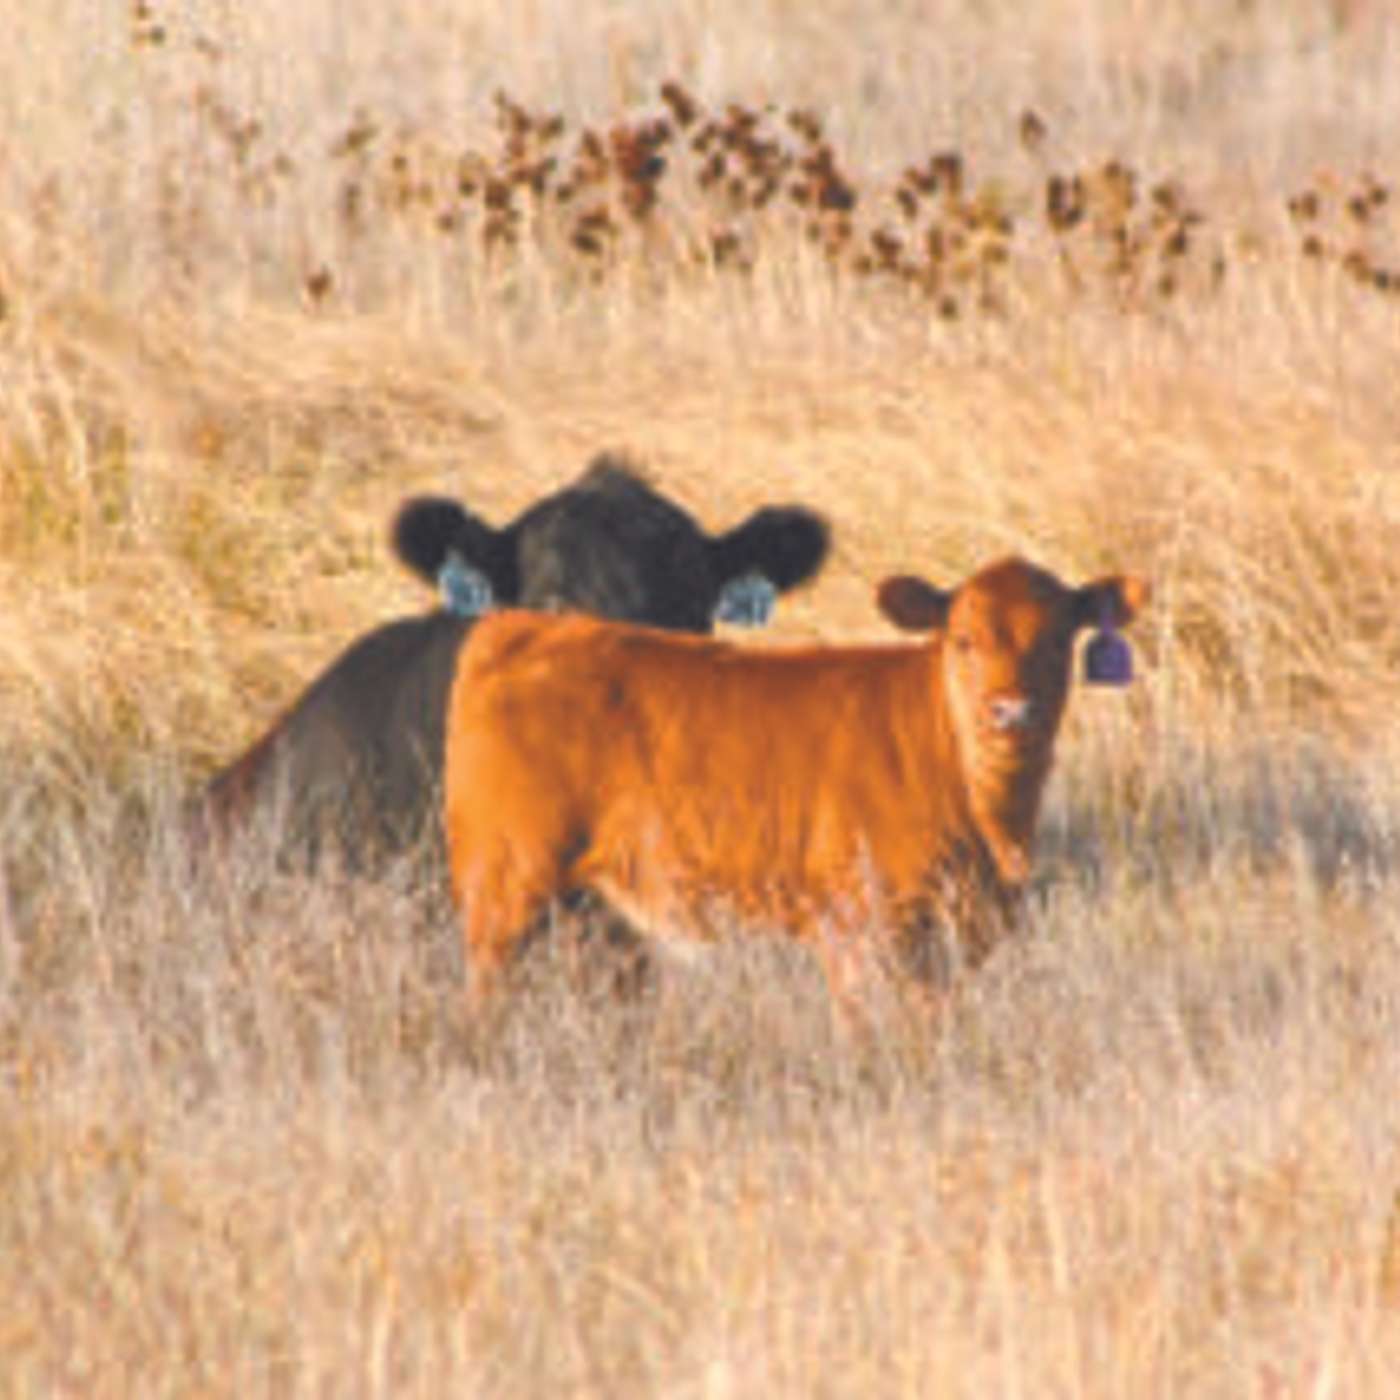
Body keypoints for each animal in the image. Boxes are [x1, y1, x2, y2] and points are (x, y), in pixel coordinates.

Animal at [443, 556, 1148, 1014]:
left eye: (1058, 641)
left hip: (591, 909)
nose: (1011, 710)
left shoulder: (967, 930)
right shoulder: (857, 926)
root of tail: (525, 627)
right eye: (964, 639)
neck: (990, 821)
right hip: (503, 884)